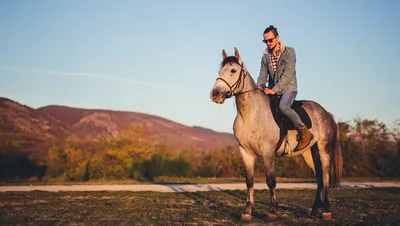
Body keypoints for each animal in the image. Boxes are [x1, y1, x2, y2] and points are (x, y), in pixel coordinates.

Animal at [208, 47, 342, 221]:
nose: (215, 94)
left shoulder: (268, 151)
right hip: (309, 153)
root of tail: (326, 113)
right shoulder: (245, 151)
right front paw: (247, 211)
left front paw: (272, 211)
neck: (251, 113)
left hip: (323, 149)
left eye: (233, 70)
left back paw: (326, 210)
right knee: (319, 177)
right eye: (220, 71)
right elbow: (249, 181)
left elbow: (271, 181)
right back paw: (314, 209)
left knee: (325, 177)